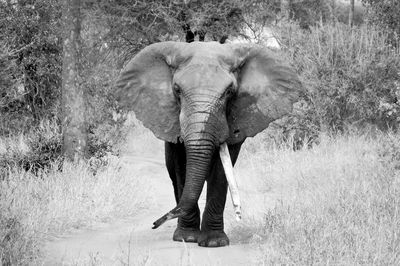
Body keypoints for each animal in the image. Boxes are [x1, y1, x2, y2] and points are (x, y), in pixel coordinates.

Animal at [114, 41, 302, 247]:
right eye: (177, 90)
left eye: (229, 92)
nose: (155, 223)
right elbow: (182, 165)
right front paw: (186, 238)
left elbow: (221, 172)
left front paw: (214, 242)